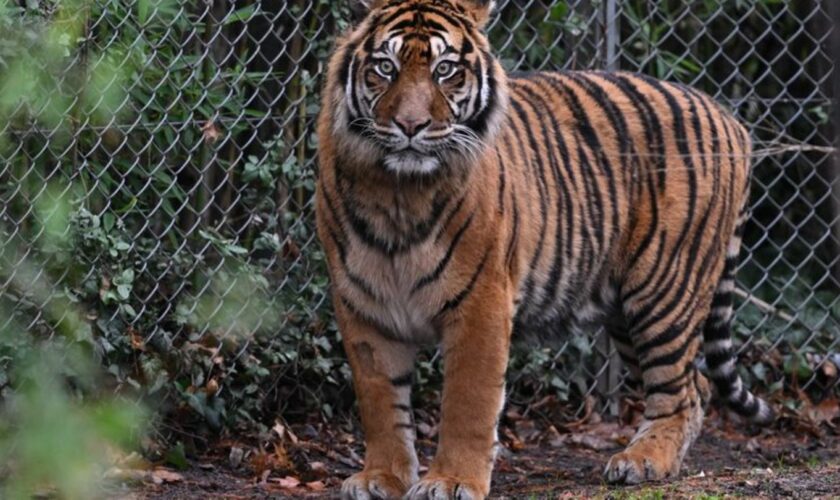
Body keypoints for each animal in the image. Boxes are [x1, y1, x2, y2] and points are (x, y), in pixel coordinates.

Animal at [316, 0, 776, 496]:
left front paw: (452, 481)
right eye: (386, 67)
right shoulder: (363, 305)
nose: (409, 126)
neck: (398, 193)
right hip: (625, 308)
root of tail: (730, 119)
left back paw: (642, 461)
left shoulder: (481, 301)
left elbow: (467, 402)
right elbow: (380, 404)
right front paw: (381, 477)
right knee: (699, 386)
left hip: (664, 290)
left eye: (445, 70)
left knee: (682, 390)